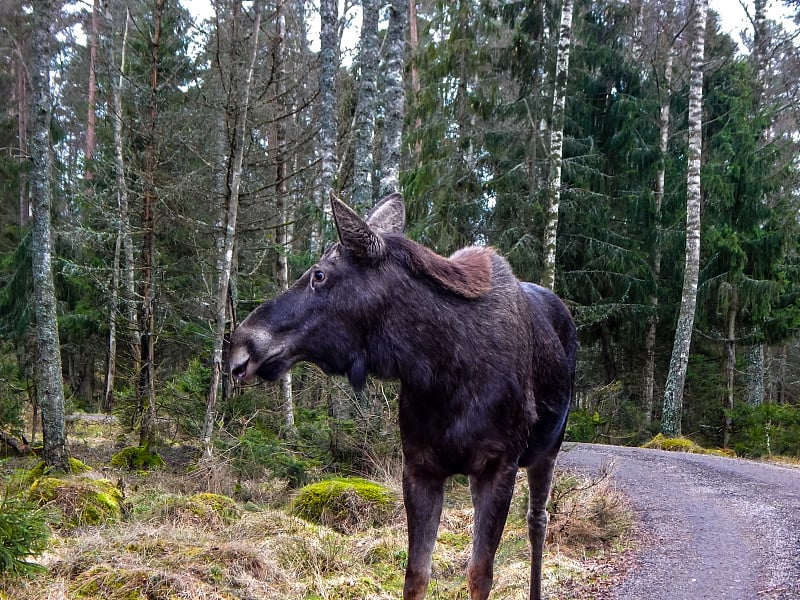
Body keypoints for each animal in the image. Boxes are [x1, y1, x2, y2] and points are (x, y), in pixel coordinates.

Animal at [230, 195, 576, 596]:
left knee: (538, 521)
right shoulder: (419, 466)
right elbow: (416, 574)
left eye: (319, 274)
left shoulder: (498, 464)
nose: (240, 343)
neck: (440, 368)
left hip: (548, 449)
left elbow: (479, 574)